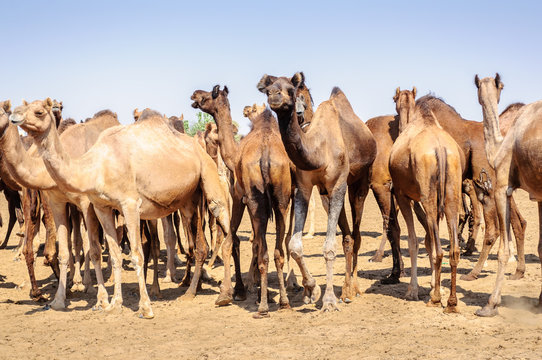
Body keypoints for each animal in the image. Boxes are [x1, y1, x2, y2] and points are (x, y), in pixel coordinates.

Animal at [9, 102, 233, 318]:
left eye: (39, 111)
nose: (14, 115)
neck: (95, 166)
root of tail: (198, 147)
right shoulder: (102, 207)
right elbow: (115, 254)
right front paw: (114, 304)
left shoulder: (130, 204)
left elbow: (136, 254)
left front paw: (144, 307)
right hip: (188, 199)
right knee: (199, 244)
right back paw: (192, 289)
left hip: (209, 176)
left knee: (222, 224)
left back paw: (219, 294)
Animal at [256, 73, 376, 310]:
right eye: (268, 89)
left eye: (290, 90)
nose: (275, 96)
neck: (319, 151)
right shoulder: (304, 187)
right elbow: (294, 245)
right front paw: (312, 290)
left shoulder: (338, 184)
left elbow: (329, 247)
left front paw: (328, 300)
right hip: (326, 195)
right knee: (348, 237)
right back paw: (345, 290)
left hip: (360, 182)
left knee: (356, 234)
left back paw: (353, 289)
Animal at [394, 88, 466, 312]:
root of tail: (441, 150)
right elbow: (427, 241)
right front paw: (435, 286)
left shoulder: (402, 194)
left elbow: (413, 242)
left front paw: (413, 290)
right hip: (450, 193)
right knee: (452, 249)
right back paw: (451, 302)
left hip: (429, 196)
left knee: (438, 250)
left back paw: (435, 299)